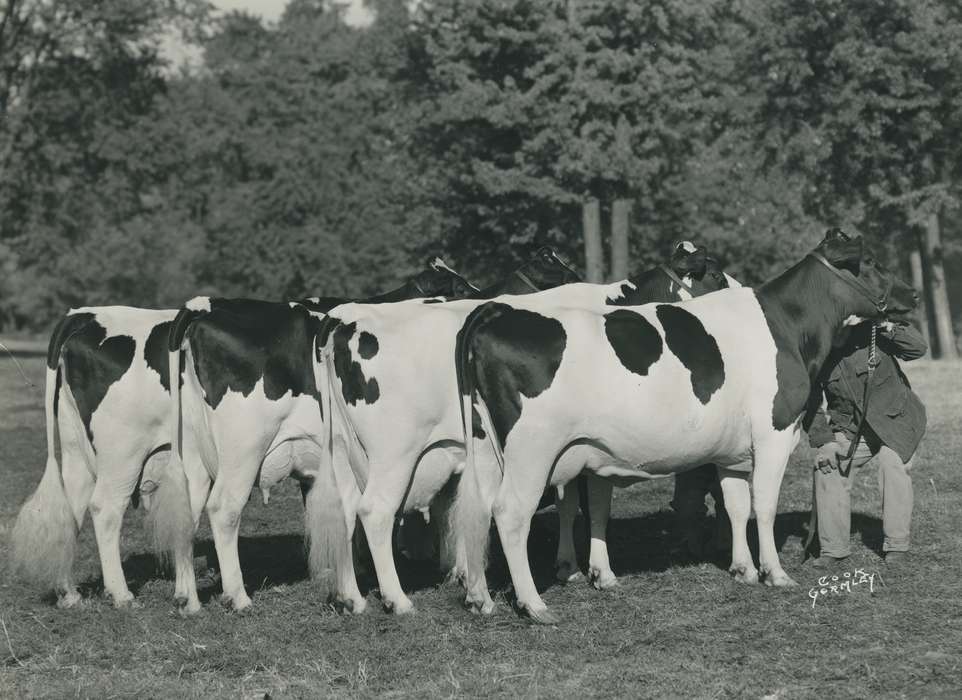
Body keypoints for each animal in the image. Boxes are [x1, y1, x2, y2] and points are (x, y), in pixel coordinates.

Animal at [8, 259, 476, 609]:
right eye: (456, 287)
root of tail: (81, 316)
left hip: (85, 452)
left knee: (78, 509)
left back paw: (78, 592)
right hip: (145, 453)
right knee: (124, 509)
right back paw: (149, 594)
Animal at [314, 244, 730, 616]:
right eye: (714, 274)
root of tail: (343, 320)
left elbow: (583, 503)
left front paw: (581, 568)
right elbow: (586, 503)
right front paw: (585, 569)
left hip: (344, 449)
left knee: (344, 508)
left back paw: (352, 597)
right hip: (395, 453)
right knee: (376, 511)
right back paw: (398, 600)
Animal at [451, 229, 918, 623]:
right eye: (871, 260)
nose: (912, 293)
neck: (787, 327)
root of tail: (494, 311)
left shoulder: (732, 450)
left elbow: (736, 505)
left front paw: (743, 569)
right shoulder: (774, 432)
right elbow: (764, 504)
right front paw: (775, 572)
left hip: (487, 448)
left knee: (476, 510)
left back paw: (480, 598)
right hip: (532, 451)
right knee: (510, 513)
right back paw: (534, 605)